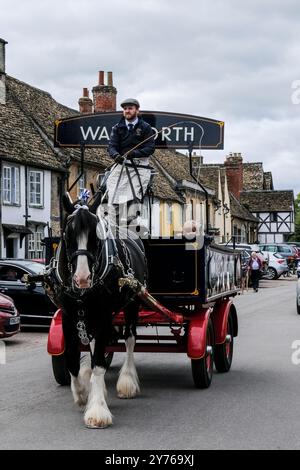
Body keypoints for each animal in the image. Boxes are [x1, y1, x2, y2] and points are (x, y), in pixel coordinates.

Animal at [57, 193, 146, 428]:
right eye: (67, 233)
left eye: (96, 235)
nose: (82, 278)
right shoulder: (68, 317)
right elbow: (72, 360)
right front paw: (82, 394)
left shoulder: (105, 316)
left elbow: (98, 363)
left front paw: (97, 409)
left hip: (132, 304)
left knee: (130, 339)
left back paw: (127, 381)